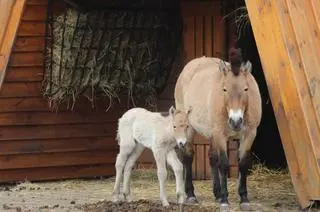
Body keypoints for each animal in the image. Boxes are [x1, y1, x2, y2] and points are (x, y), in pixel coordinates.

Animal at [175, 48, 262, 210]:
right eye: (225, 89)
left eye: (246, 89)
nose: (236, 121)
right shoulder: (220, 135)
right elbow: (223, 164)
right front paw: (224, 200)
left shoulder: (249, 135)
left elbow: (242, 164)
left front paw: (244, 199)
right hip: (190, 128)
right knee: (188, 157)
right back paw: (191, 195)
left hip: (212, 135)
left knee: (212, 158)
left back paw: (217, 193)